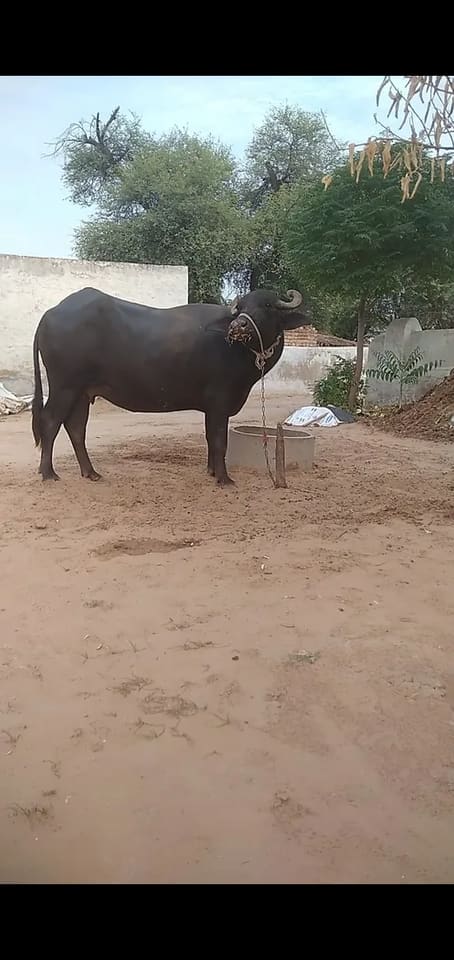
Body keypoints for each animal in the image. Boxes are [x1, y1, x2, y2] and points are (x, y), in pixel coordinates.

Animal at [32, 286, 308, 486]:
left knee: (75, 428)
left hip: (81, 391)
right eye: (239, 307)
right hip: (64, 386)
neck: (236, 350)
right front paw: (224, 478)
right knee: (50, 421)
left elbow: (210, 437)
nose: (238, 326)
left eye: (268, 305)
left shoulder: (211, 407)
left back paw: (91, 473)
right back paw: (48, 473)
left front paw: (211, 471)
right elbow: (220, 439)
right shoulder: (220, 400)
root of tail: (51, 313)